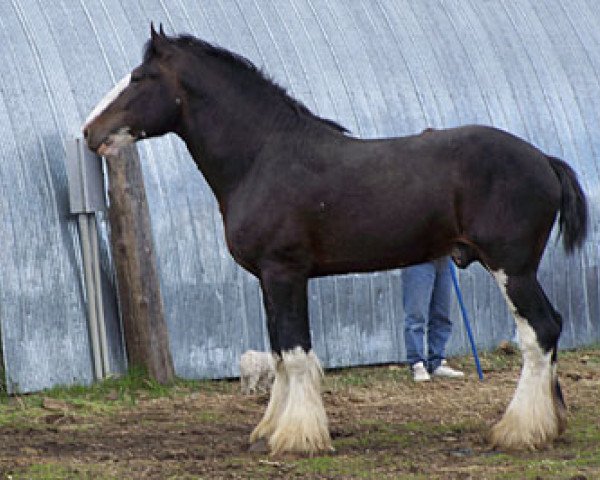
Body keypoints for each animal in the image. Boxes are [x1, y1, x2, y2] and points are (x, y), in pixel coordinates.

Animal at [82, 25, 588, 454]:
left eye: (142, 77)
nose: (90, 132)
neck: (263, 156)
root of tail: (544, 159)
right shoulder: (268, 280)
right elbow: (279, 354)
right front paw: (269, 429)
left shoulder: (285, 273)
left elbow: (295, 353)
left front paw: (297, 437)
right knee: (550, 328)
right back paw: (550, 424)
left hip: (512, 269)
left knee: (539, 333)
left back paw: (519, 430)